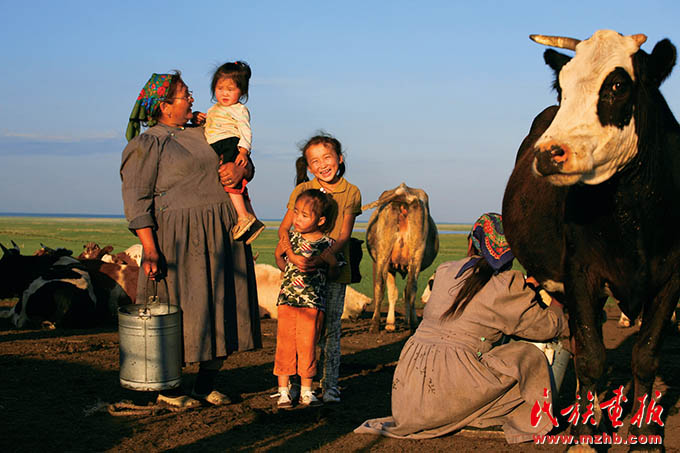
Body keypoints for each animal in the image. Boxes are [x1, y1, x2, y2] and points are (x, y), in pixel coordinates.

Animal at [364, 181, 438, 332]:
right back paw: (412, 324)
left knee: (381, 285)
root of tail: (405, 193)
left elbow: (393, 292)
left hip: (385, 254)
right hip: (414, 255)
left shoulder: (390, 267)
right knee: (411, 288)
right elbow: (398, 293)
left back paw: (375, 324)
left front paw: (391, 323)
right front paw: (398, 321)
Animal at [502, 30, 676, 450]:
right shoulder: (581, 274)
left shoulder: (672, 277)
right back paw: (590, 418)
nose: (549, 154)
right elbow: (591, 358)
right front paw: (584, 435)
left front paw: (646, 433)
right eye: (561, 89)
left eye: (617, 85)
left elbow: (646, 356)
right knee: (582, 347)